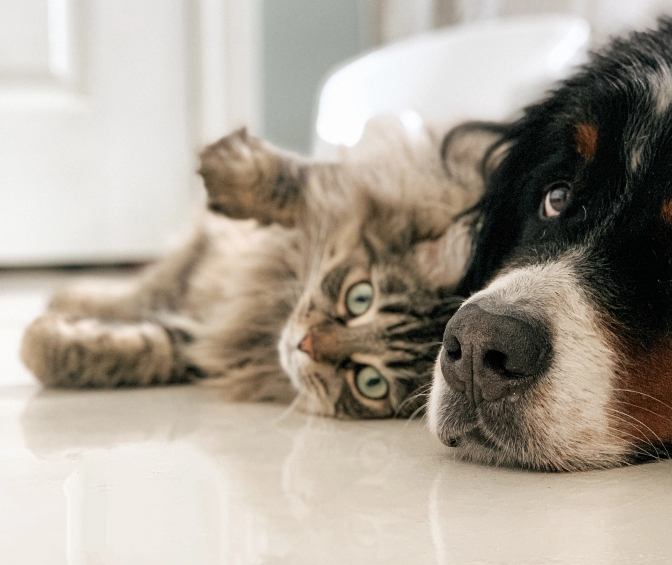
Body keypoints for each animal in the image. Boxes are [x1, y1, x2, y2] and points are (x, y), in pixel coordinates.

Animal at [22, 118, 494, 418]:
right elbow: (298, 183)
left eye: (370, 382)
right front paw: (227, 166)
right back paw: (68, 294)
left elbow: (141, 349)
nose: (304, 345)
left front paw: (39, 342)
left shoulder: (204, 343)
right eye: (360, 298)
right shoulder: (379, 185)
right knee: (143, 288)